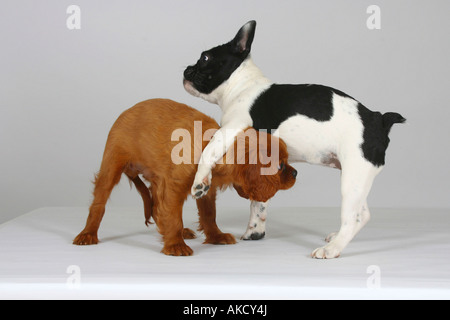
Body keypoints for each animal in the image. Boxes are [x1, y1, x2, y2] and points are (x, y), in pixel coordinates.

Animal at [73, 99, 298, 256]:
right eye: (280, 165)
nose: (296, 173)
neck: (211, 147)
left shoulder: (205, 189)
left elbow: (208, 215)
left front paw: (215, 236)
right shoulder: (174, 187)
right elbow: (173, 216)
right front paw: (175, 245)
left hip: (156, 179)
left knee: (156, 207)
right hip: (112, 165)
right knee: (99, 204)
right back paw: (87, 234)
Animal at [183, 20, 404, 258]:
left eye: (205, 58)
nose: (187, 69)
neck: (242, 86)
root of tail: (379, 119)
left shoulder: (231, 127)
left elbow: (209, 151)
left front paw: (200, 183)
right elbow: (259, 200)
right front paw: (255, 229)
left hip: (353, 176)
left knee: (353, 217)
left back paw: (331, 249)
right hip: (357, 176)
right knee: (362, 214)